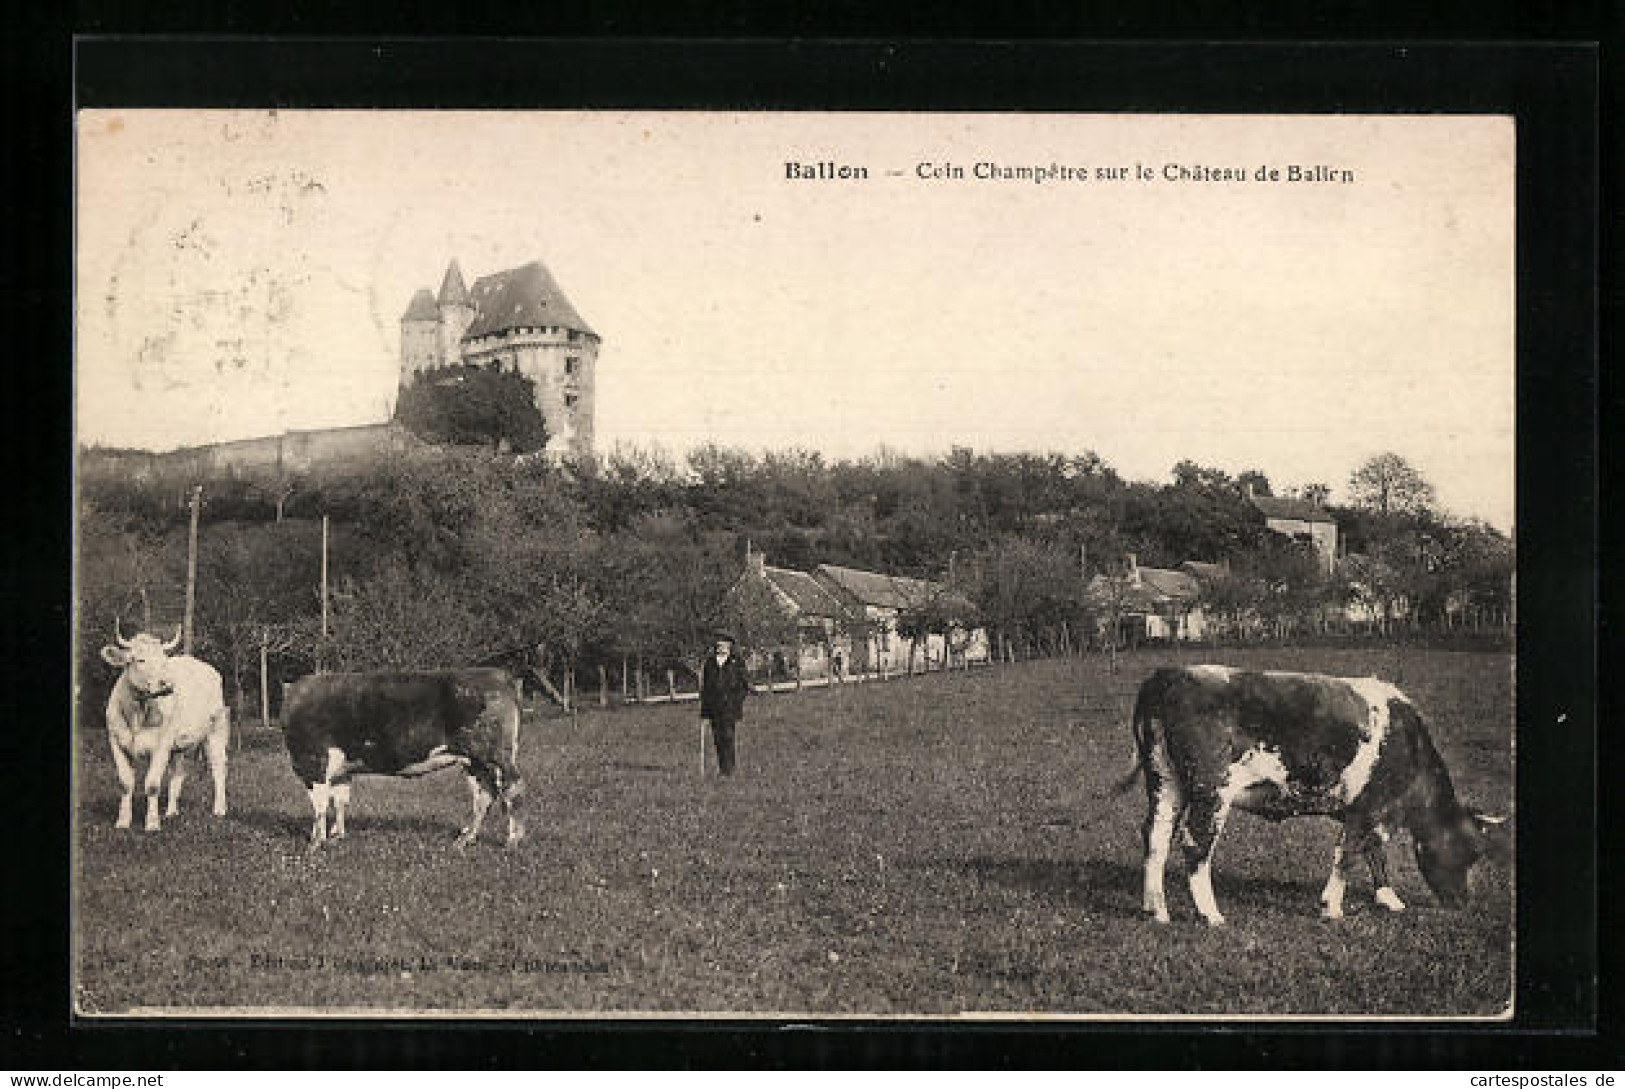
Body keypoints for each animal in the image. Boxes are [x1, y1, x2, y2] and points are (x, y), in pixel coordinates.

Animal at [97, 627, 230, 832]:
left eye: (164, 661)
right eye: (140, 660)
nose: (166, 684)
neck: (138, 713)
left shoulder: (161, 746)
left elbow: (152, 785)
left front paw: (152, 823)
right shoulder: (116, 742)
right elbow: (125, 783)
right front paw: (123, 821)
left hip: (216, 730)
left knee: (219, 768)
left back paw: (219, 809)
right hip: (177, 745)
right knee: (177, 773)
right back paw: (171, 812)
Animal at [282, 669, 523, 858]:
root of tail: (498, 674)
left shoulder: (312, 762)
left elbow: (319, 806)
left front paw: (314, 844)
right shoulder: (341, 771)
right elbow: (339, 802)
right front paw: (336, 837)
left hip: (495, 755)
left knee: (512, 790)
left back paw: (512, 842)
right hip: (474, 762)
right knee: (485, 795)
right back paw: (465, 839)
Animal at [1124, 669, 1501, 923]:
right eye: (1470, 852)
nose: (1463, 903)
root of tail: (1171, 674)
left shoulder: (1373, 814)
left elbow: (1375, 852)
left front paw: (1388, 898)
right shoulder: (1367, 807)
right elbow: (1348, 855)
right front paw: (1331, 907)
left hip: (1165, 780)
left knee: (1155, 836)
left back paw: (1155, 909)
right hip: (1211, 789)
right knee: (1195, 843)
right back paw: (1209, 915)